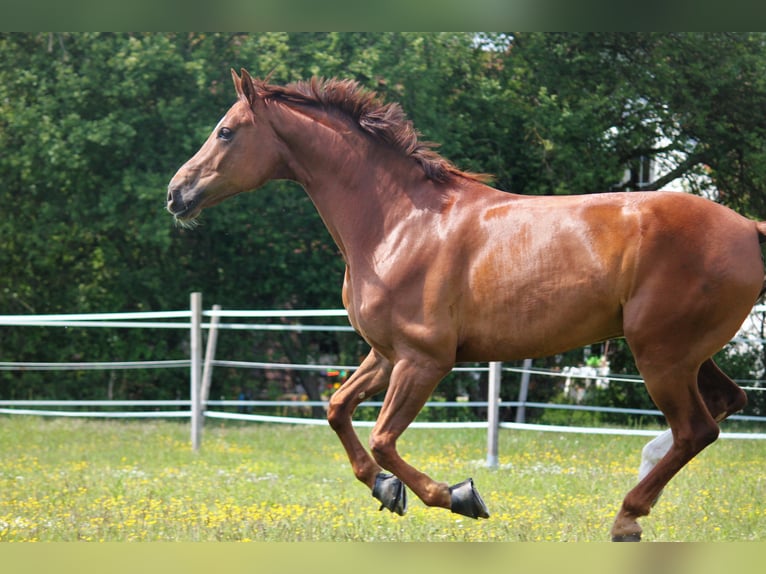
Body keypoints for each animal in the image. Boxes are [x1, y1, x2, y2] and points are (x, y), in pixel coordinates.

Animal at [166, 70, 760, 544]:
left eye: (225, 131)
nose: (176, 193)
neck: (397, 223)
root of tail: (750, 228)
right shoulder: (386, 354)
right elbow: (337, 409)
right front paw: (385, 490)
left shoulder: (425, 360)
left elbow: (384, 439)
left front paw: (458, 496)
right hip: (681, 354)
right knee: (725, 404)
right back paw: (643, 479)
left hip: (659, 354)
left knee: (697, 429)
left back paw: (627, 516)